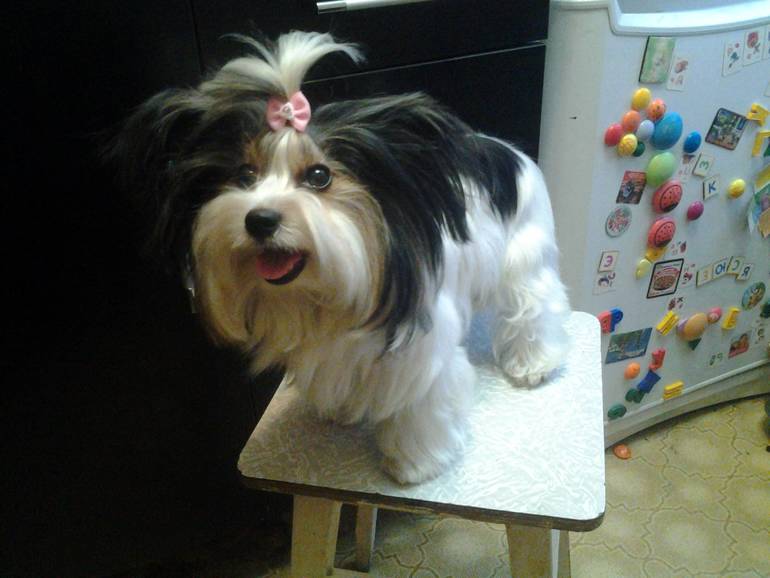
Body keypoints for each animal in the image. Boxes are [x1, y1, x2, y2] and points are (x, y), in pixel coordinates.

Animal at [110, 31, 570, 484]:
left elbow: (420, 408)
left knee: (535, 305)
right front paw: (339, 411)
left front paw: (415, 463)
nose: (259, 219)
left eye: (319, 176)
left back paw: (534, 363)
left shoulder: (421, 362)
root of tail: (502, 149)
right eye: (244, 175)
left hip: (525, 258)